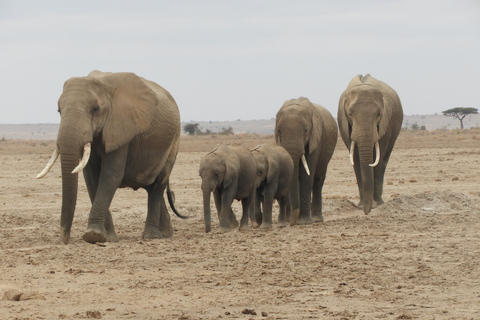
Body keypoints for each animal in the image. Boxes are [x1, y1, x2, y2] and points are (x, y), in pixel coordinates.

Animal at [35, 70, 186, 245]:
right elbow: (92, 179)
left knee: (157, 186)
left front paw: (93, 235)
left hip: (173, 141)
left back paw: (151, 236)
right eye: (59, 110)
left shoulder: (121, 126)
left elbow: (110, 176)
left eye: (95, 108)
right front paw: (107, 238)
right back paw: (166, 234)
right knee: (152, 187)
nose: (65, 239)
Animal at [274, 97, 338, 225]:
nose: (291, 222)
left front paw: (303, 222)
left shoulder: (315, 140)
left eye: (306, 130)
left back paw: (317, 219)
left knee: (318, 181)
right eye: (278, 131)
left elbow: (306, 175)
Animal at [338, 74, 404, 214]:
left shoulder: (385, 124)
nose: (367, 211)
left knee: (383, 161)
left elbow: (378, 159)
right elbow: (356, 160)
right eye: (350, 114)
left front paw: (376, 205)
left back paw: (380, 202)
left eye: (379, 114)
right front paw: (361, 205)